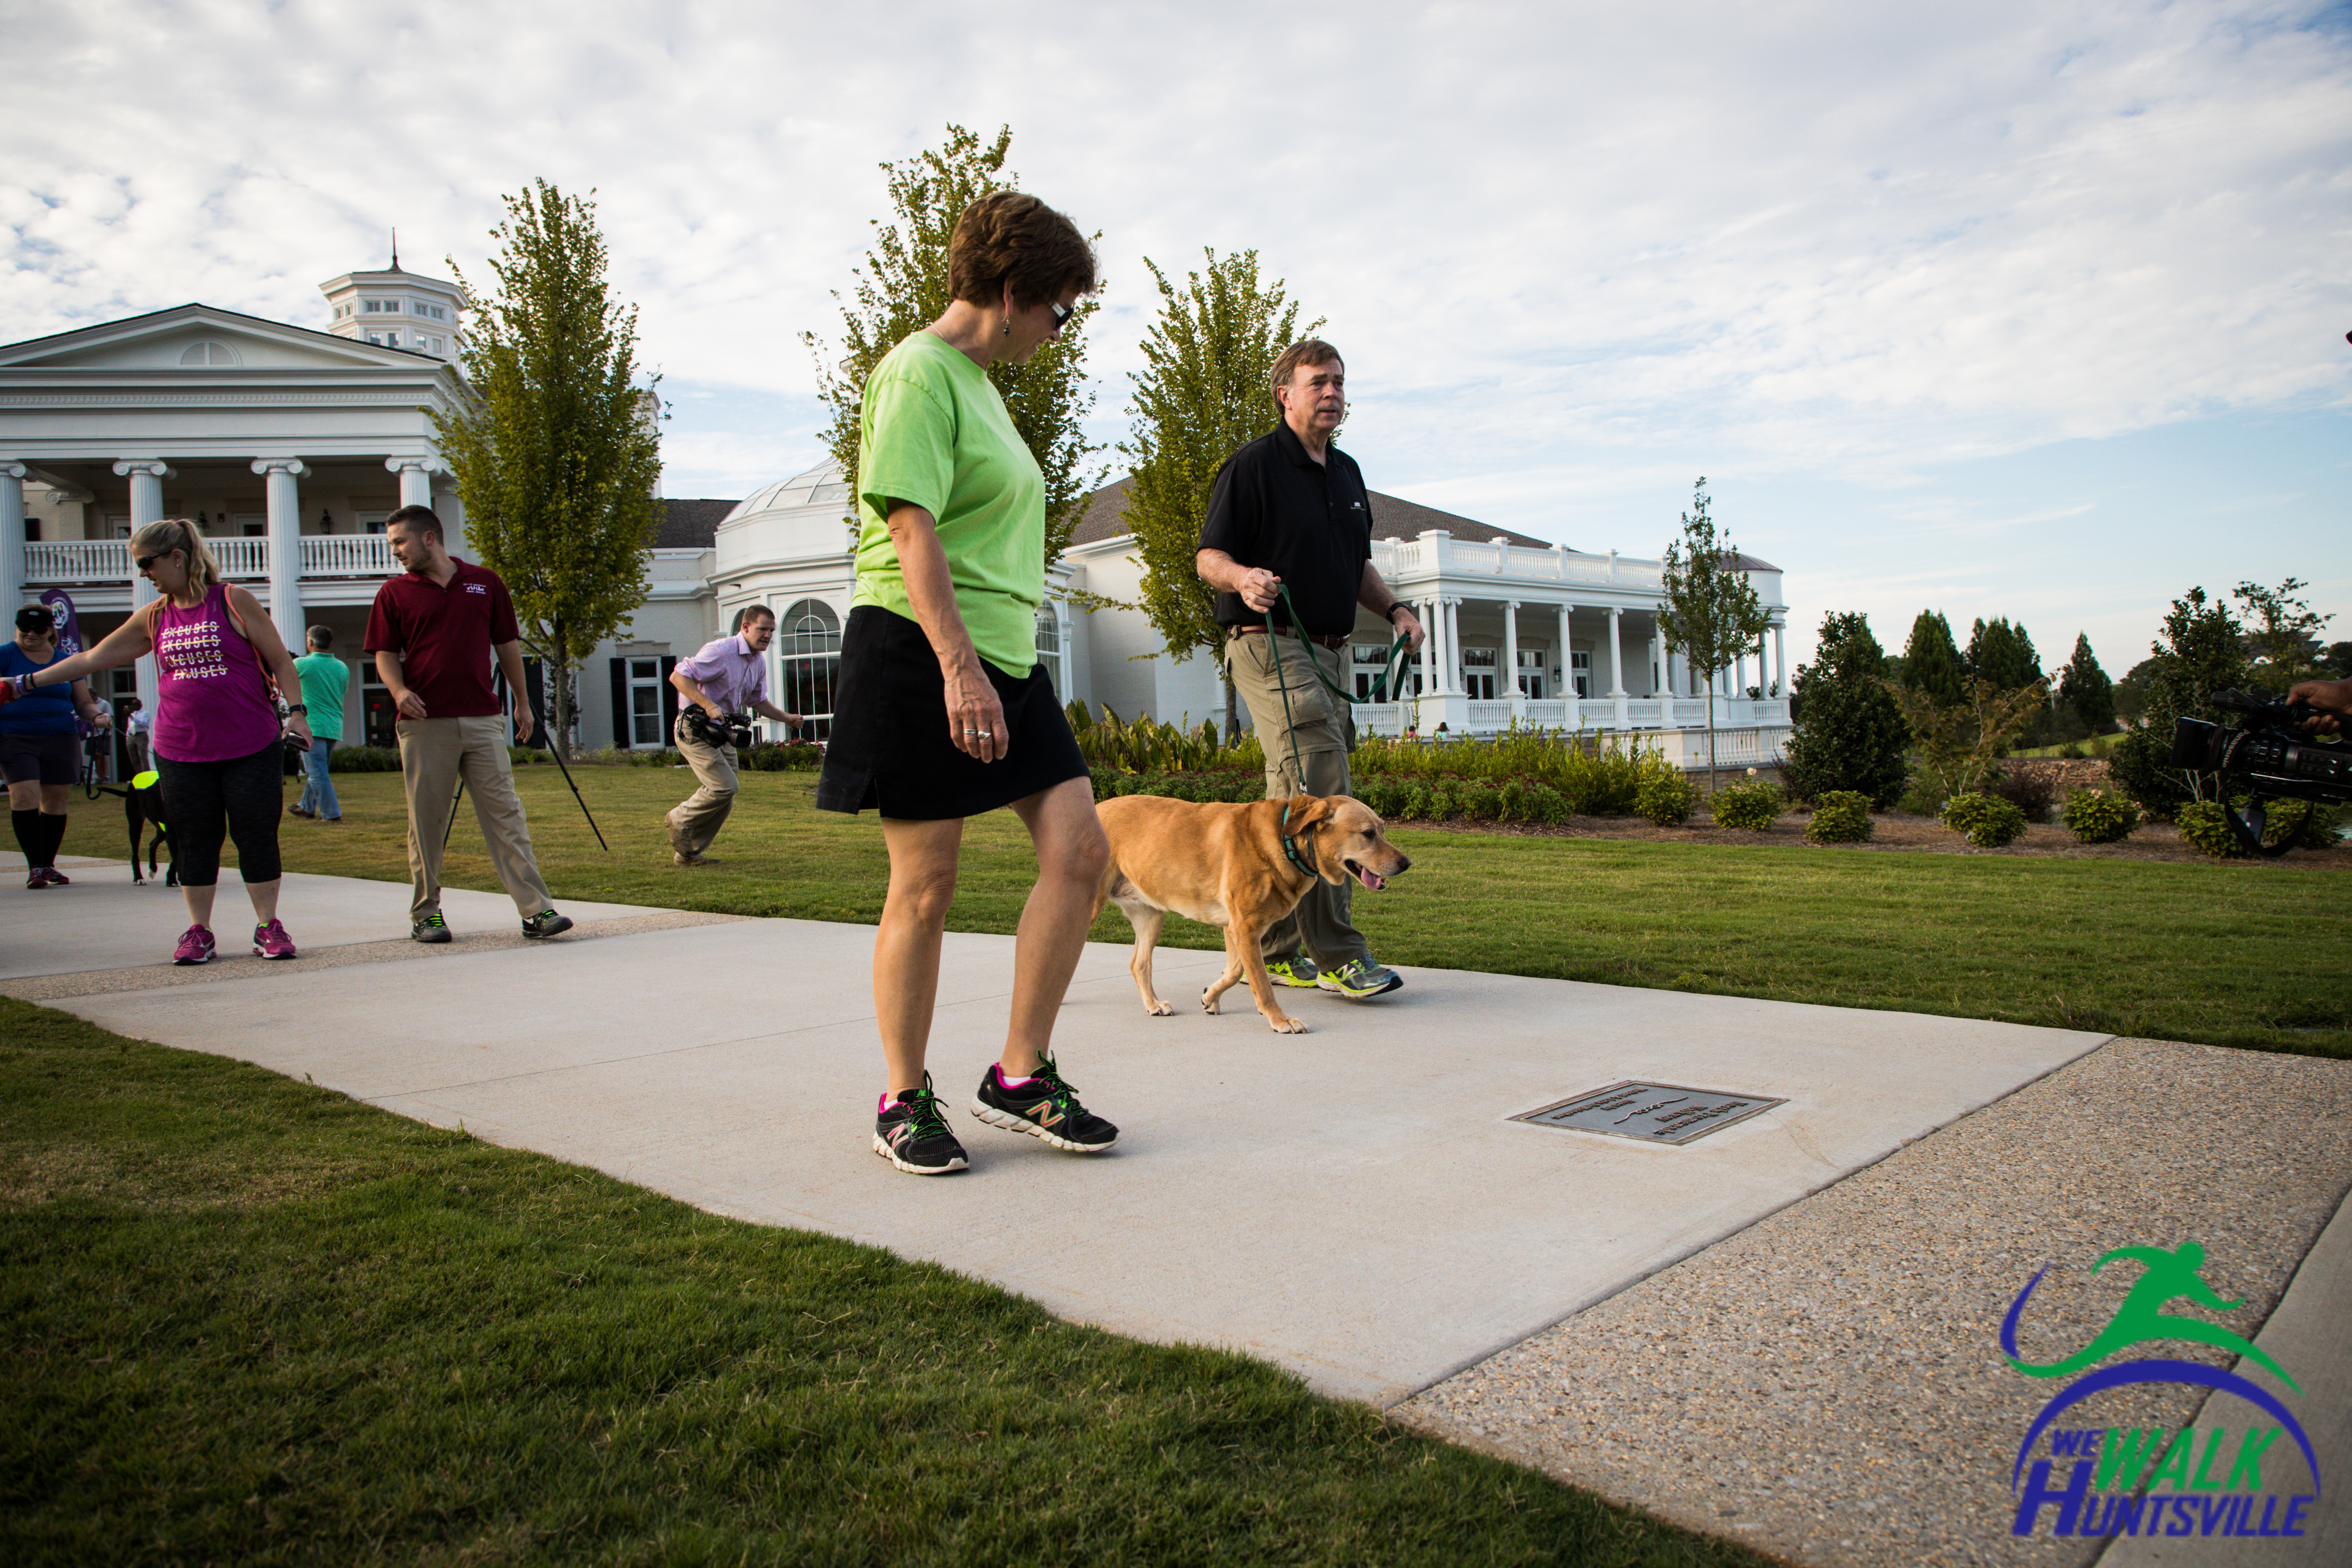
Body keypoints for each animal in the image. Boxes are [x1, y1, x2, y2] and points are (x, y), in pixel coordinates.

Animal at [1087, 799, 1402, 1029]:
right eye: (1368, 834)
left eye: (1383, 830)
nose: (1406, 863)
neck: (1287, 841)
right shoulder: (1245, 928)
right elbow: (1261, 982)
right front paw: (1280, 1020)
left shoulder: (1236, 928)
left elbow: (1235, 971)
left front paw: (1211, 998)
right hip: (1089, 907)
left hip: (1151, 916)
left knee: (1139, 964)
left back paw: (1152, 1004)